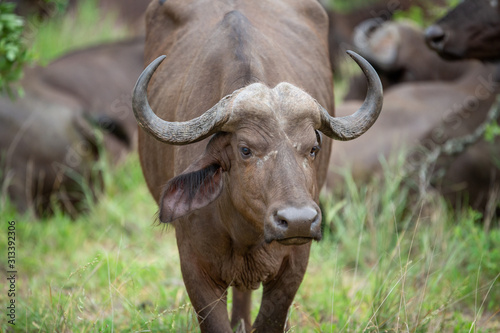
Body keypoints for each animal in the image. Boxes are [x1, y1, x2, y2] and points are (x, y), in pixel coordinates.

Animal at [132, 1, 382, 330]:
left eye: (313, 149)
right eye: (245, 150)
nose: (299, 220)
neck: (245, 235)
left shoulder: (294, 265)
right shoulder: (194, 266)